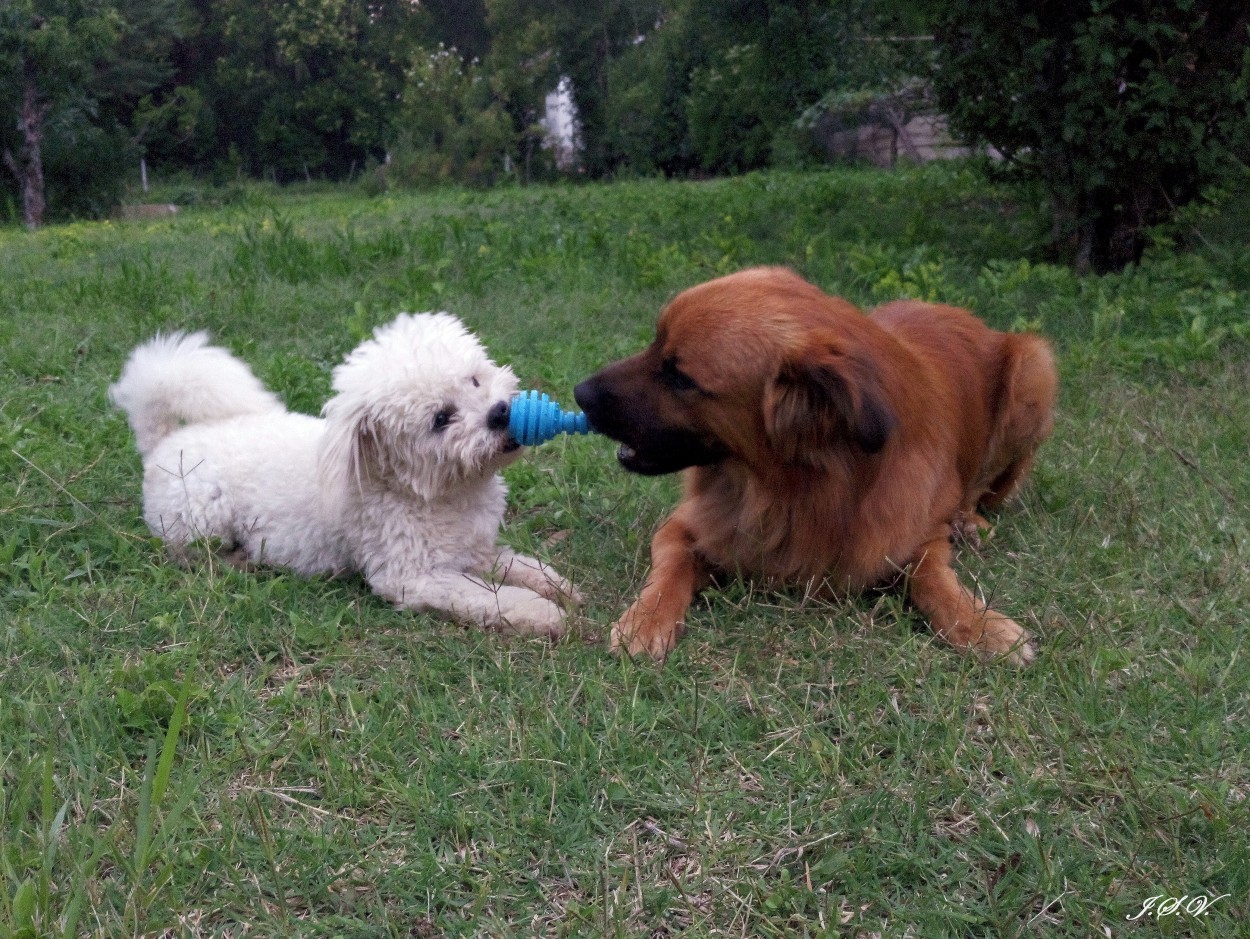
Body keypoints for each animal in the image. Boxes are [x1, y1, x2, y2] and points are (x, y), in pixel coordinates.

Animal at [110, 312, 577, 635]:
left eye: (475, 381)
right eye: (441, 419)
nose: (500, 414)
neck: (429, 489)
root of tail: (162, 443)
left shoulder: (474, 548)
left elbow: (515, 565)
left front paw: (556, 586)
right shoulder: (412, 577)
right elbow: (484, 596)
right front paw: (540, 612)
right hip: (200, 521)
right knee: (189, 554)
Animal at [572, 266, 1055, 660]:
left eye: (680, 377)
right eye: (655, 343)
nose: (579, 393)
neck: (792, 489)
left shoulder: (920, 536)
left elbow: (932, 578)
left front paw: (979, 624)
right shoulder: (685, 526)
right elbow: (670, 568)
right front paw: (645, 620)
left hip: (1033, 370)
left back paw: (971, 523)